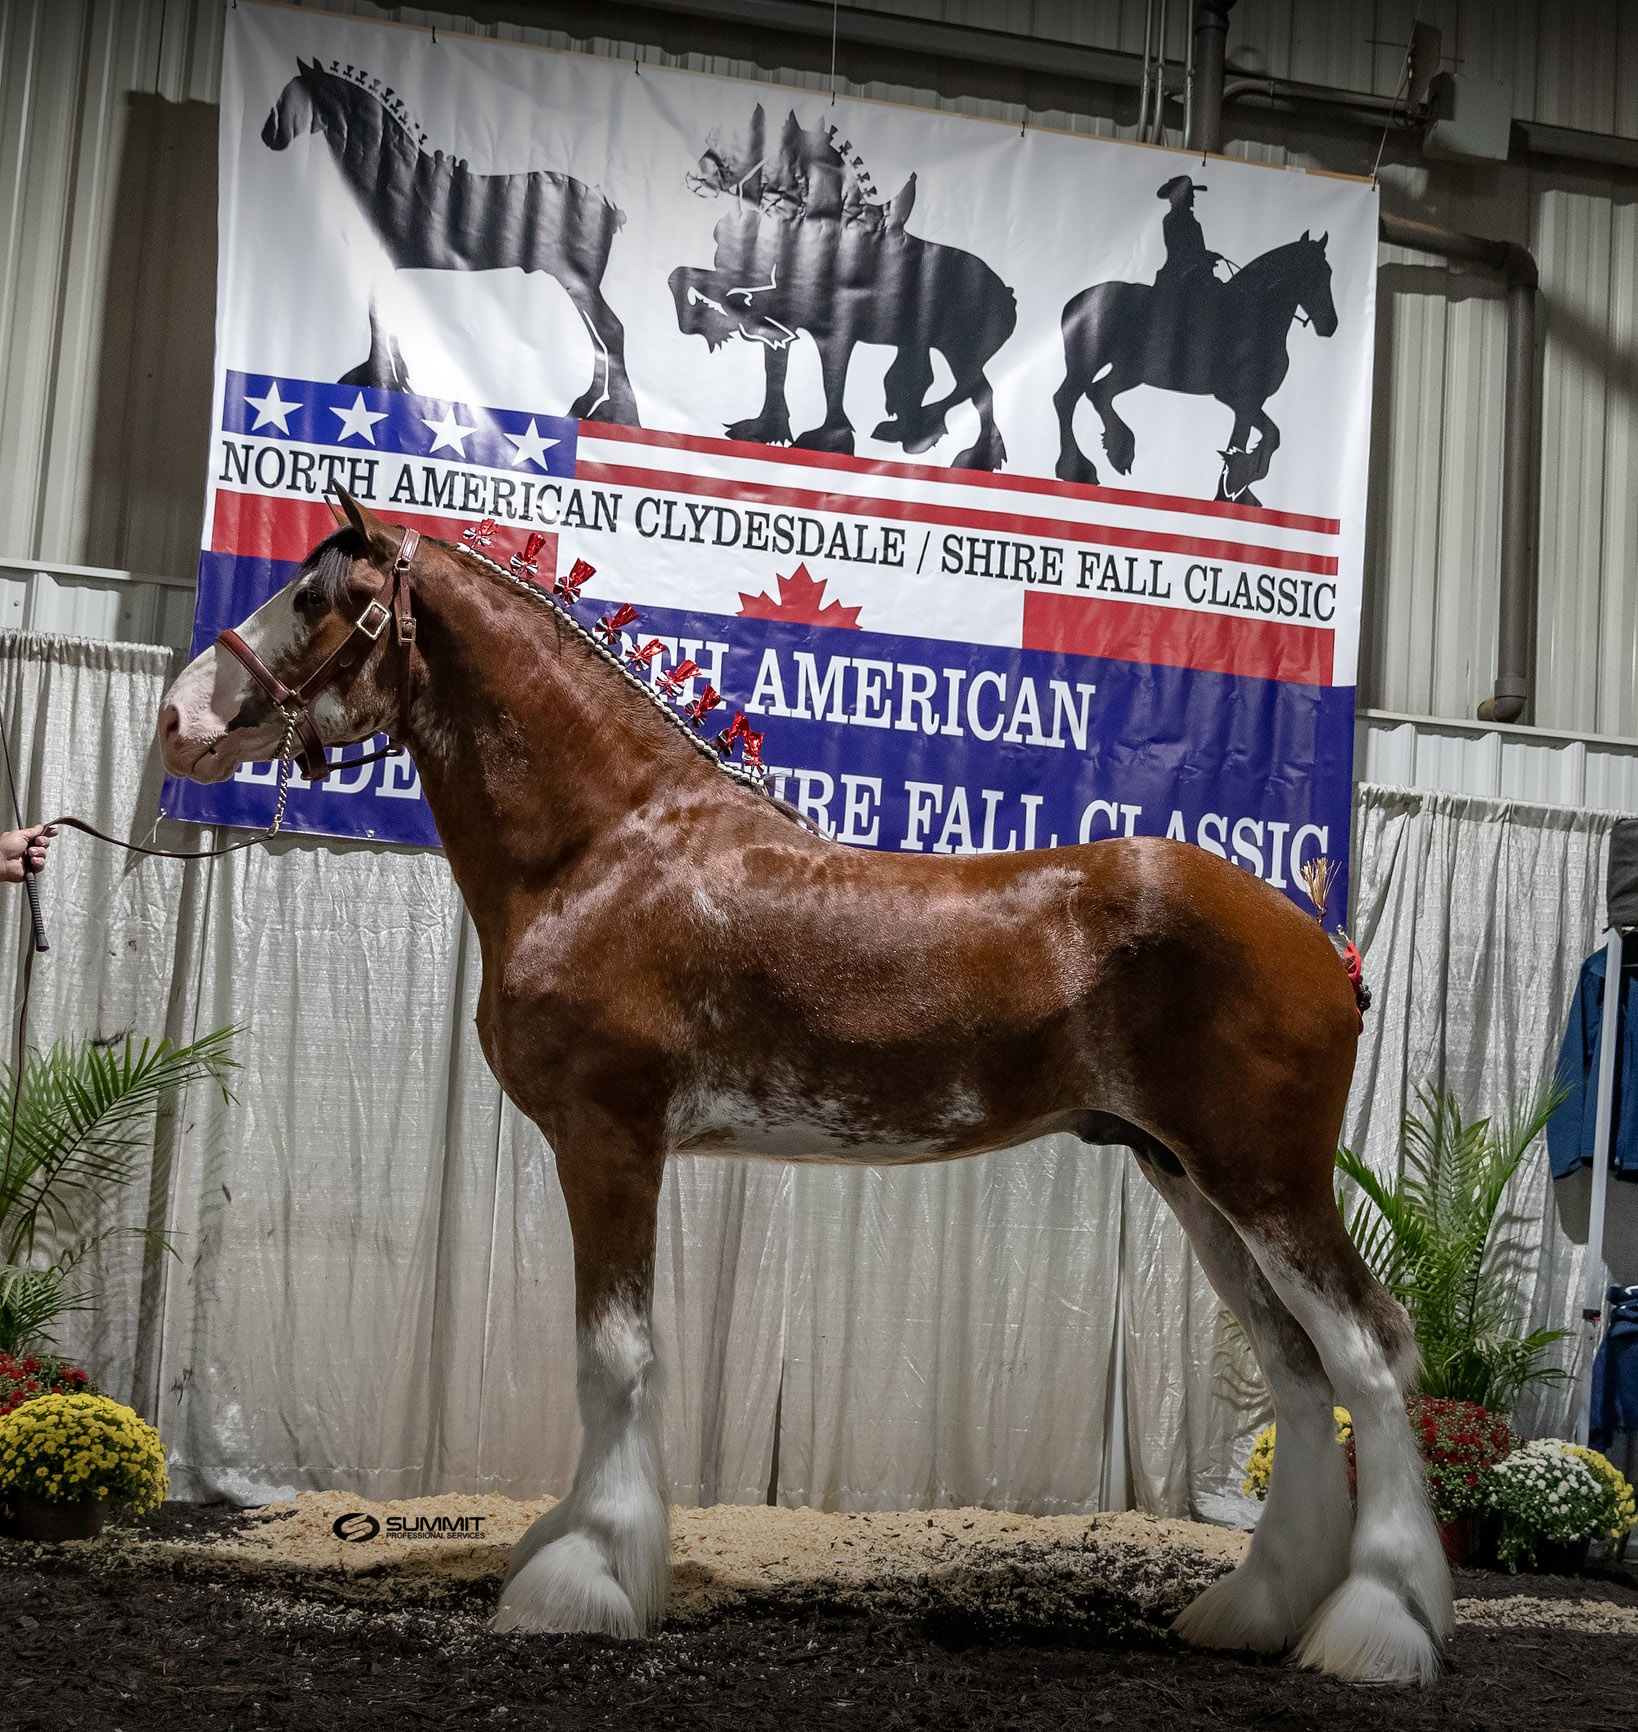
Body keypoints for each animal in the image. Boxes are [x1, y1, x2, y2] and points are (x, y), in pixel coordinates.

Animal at [159, 495, 1447, 1683]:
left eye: (315, 599)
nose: (178, 720)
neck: (606, 849)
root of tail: (1319, 936)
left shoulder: (608, 1136)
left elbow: (611, 1355)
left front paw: (583, 1580)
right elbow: (611, 1358)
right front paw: (575, 1547)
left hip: (1263, 1178)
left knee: (1371, 1350)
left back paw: (1380, 1625)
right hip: (1189, 1175)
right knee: (1299, 1369)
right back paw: (1256, 1610)